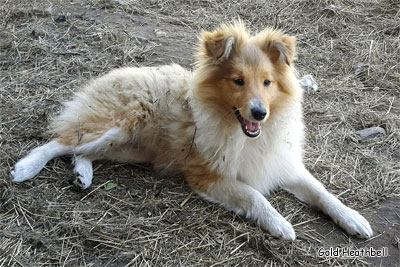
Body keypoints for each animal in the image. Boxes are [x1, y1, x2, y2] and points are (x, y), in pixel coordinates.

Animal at [10, 22, 372, 242]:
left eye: (268, 82)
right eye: (238, 81)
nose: (259, 112)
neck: (240, 132)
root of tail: (114, 74)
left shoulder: (281, 162)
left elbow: (322, 192)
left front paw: (353, 218)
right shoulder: (207, 175)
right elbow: (253, 195)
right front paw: (280, 223)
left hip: (130, 148)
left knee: (80, 151)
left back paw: (82, 175)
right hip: (118, 126)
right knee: (61, 142)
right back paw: (26, 168)